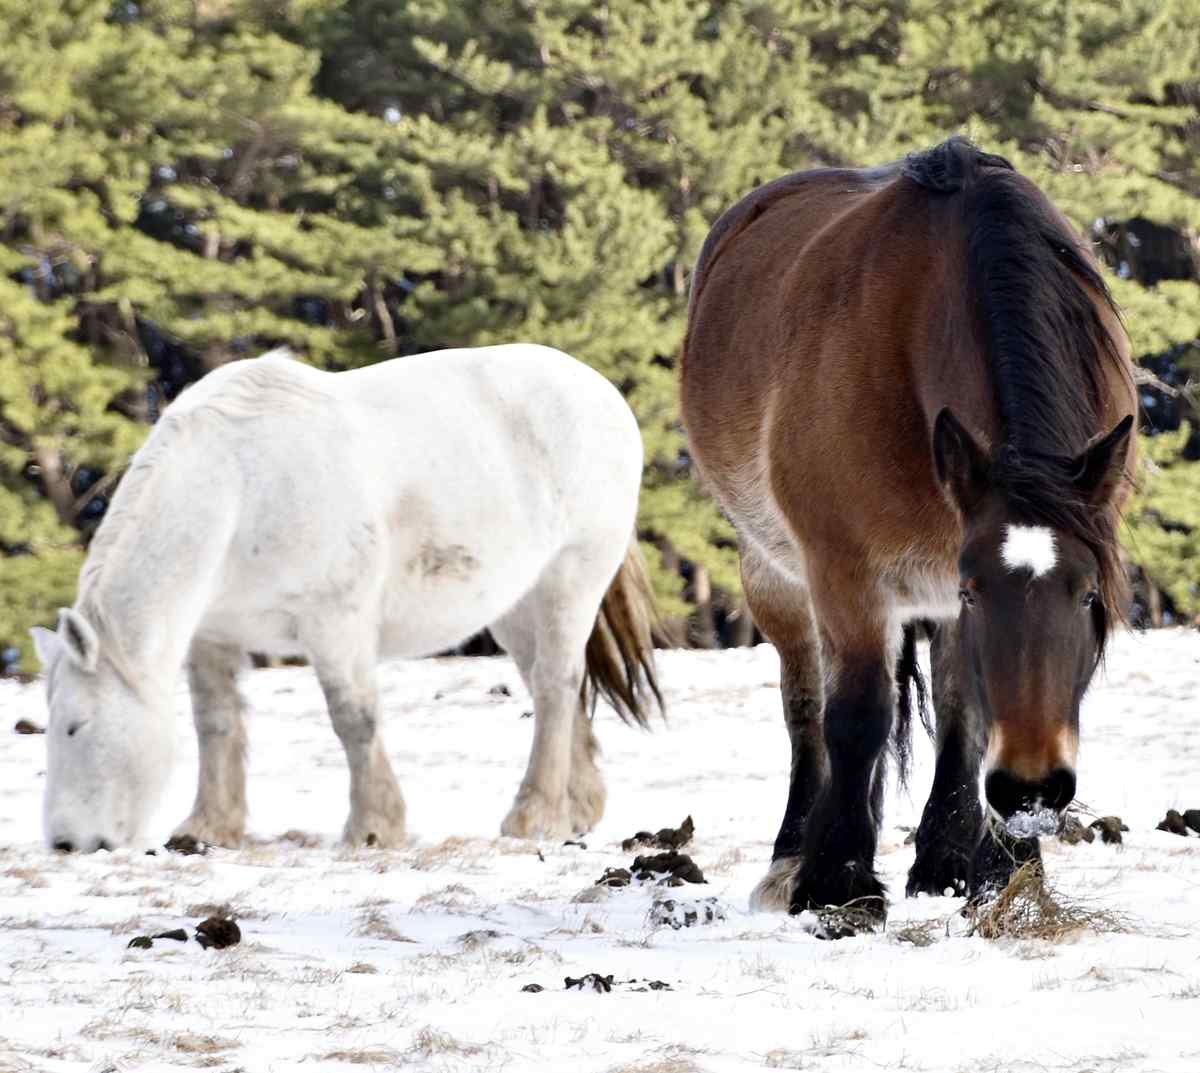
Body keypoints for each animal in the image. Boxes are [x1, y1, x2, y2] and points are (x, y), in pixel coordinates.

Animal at [32, 345, 662, 854]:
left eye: (74, 726)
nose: (65, 842)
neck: (238, 491)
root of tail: (600, 390)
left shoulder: (335, 622)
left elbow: (353, 718)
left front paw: (374, 826)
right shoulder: (213, 636)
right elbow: (215, 725)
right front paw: (208, 827)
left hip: (570, 577)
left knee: (556, 682)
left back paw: (535, 815)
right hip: (515, 604)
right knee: (546, 684)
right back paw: (576, 809)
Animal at [686, 136, 1132, 921]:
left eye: (1086, 596)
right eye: (980, 592)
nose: (1031, 792)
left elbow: (966, 715)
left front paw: (984, 872)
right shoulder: (851, 576)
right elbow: (856, 714)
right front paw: (837, 884)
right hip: (774, 574)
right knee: (809, 709)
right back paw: (792, 857)